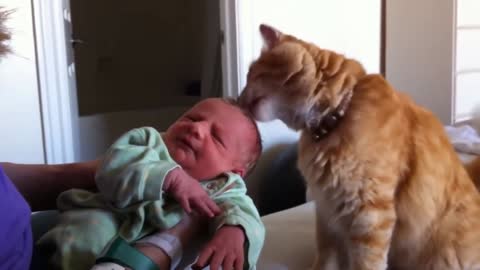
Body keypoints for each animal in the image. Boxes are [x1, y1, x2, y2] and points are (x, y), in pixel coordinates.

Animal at [240, 24, 480, 268]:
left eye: (251, 74)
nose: (238, 101)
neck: (337, 118)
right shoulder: (326, 213)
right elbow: (326, 258)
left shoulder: (369, 214)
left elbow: (366, 262)